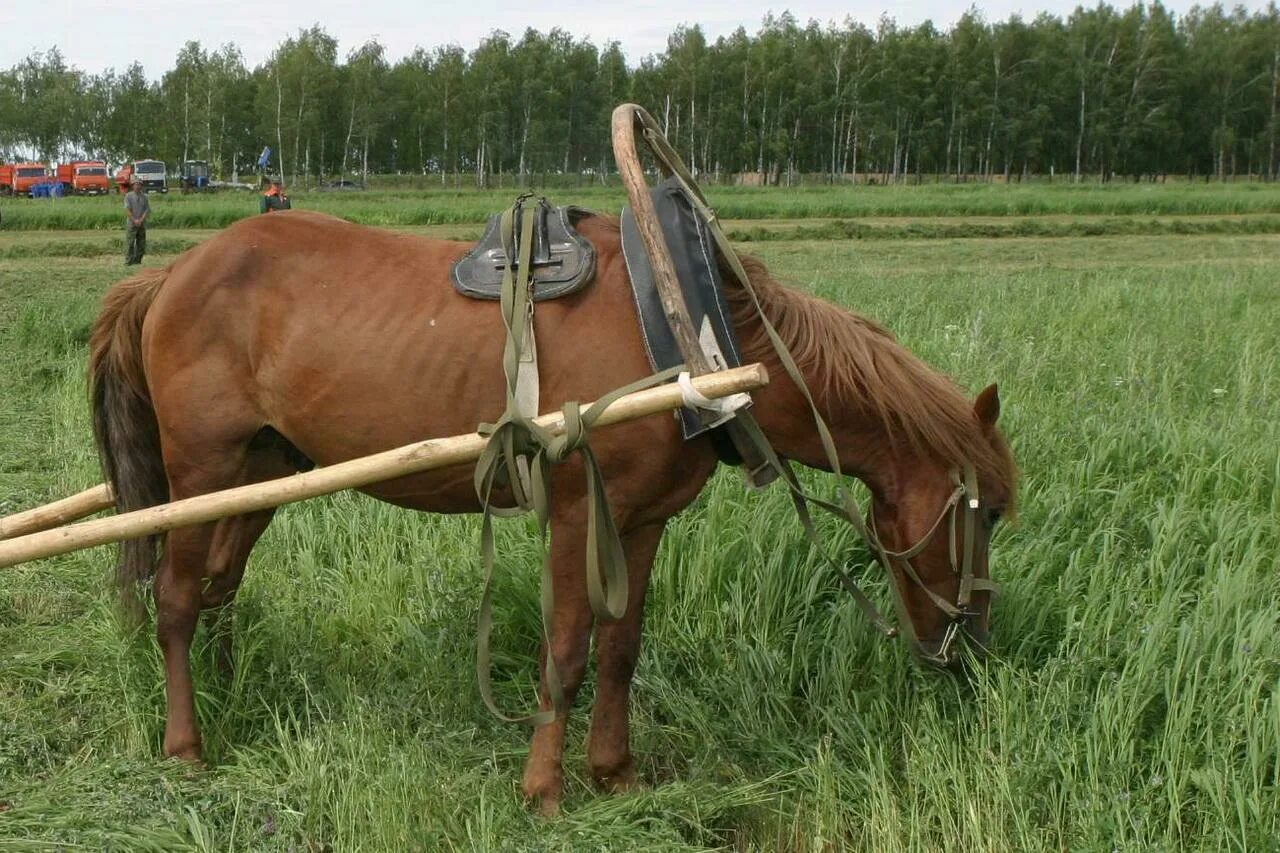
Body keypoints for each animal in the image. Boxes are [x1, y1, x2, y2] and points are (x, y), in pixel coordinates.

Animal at [87, 206, 1008, 809]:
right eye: (989, 510)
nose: (971, 642)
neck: (689, 335)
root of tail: (169, 274)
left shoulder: (642, 521)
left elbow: (623, 647)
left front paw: (615, 770)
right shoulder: (576, 514)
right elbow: (565, 650)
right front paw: (544, 787)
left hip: (264, 472)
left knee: (218, 587)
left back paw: (227, 689)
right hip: (201, 470)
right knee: (178, 598)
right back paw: (187, 742)